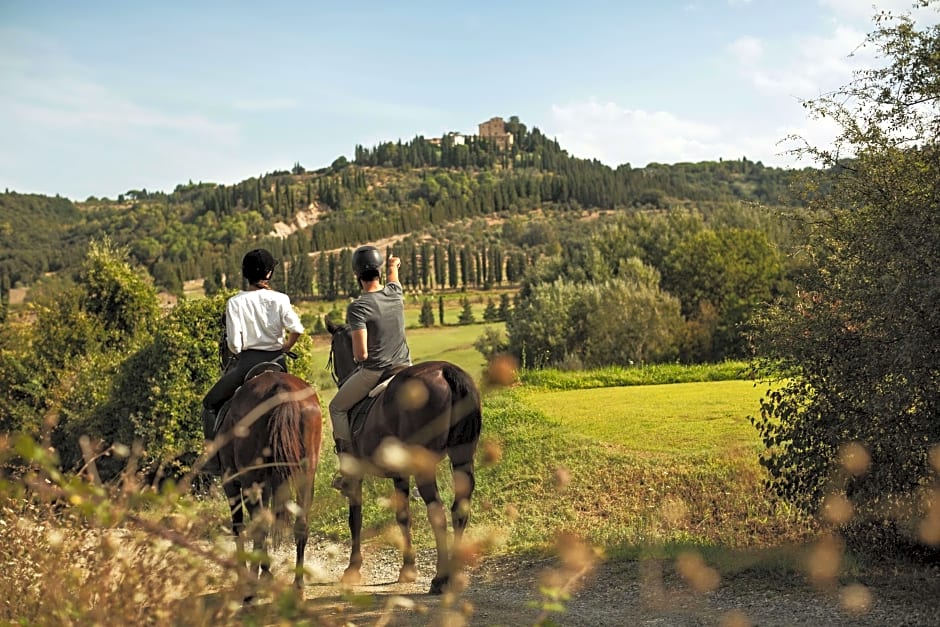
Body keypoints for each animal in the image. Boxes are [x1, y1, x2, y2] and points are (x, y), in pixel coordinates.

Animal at [324, 322, 484, 596]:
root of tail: (446, 372)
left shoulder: (355, 473)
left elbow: (355, 518)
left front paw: (352, 569)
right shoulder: (399, 474)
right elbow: (403, 516)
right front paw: (408, 568)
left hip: (425, 467)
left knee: (438, 513)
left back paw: (440, 579)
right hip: (462, 457)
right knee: (459, 510)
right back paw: (454, 574)